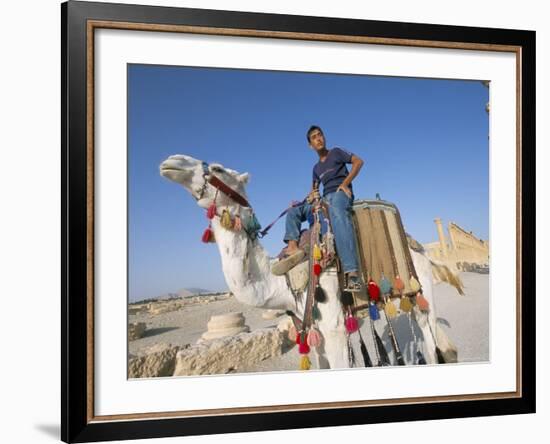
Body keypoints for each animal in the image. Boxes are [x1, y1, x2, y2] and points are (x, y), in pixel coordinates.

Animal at [160, 154, 462, 370]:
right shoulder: (314, 334)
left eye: (219, 169)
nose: (171, 161)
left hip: (421, 289)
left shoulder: (335, 329)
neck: (282, 282)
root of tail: (420, 249)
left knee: (430, 340)